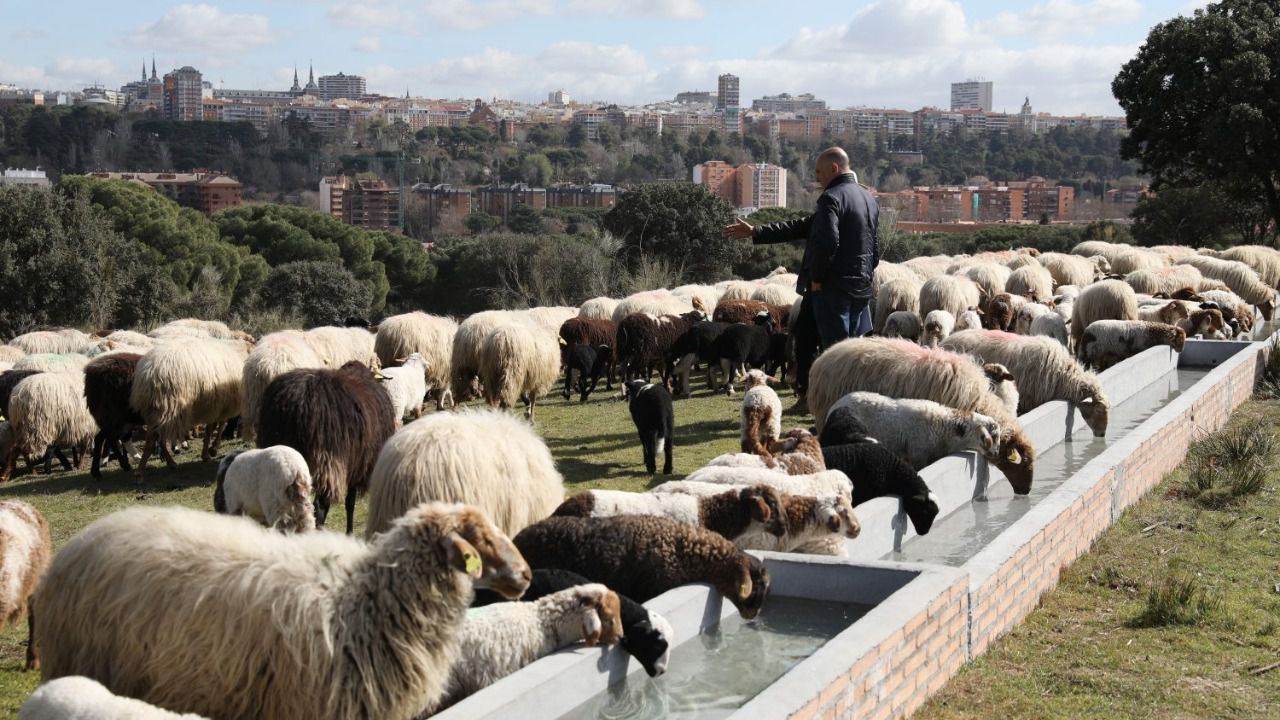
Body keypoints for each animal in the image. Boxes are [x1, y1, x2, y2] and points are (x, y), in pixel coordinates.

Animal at [258, 361, 396, 534]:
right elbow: (350, 502)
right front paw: (349, 532)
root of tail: (298, 404)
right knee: (320, 506)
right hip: (327, 461)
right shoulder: (355, 466)